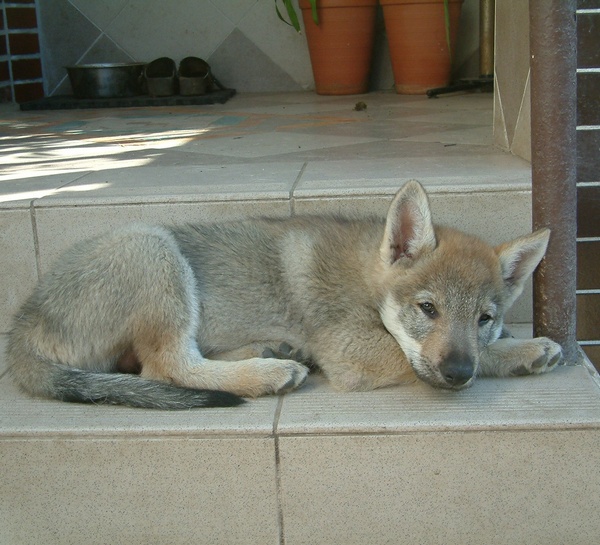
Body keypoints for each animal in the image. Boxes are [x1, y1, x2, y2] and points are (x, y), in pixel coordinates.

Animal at [6, 180, 562, 409]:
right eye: (428, 308)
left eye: (484, 319)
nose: (458, 372)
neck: (367, 278)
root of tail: (22, 326)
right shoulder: (351, 352)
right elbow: (429, 360)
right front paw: (526, 349)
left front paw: (515, 346)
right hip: (150, 246)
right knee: (165, 367)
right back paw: (268, 372)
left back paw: (268, 351)